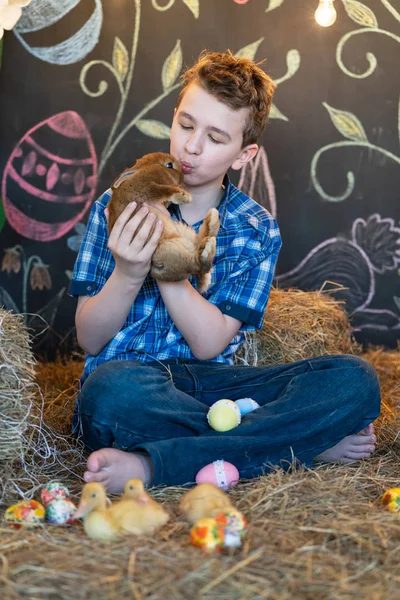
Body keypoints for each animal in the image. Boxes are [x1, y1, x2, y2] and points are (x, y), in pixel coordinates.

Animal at [108, 152, 220, 292]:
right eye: (169, 165)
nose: (182, 176)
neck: (144, 169)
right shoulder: (147, 188)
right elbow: (164, 190)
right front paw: (185, 196)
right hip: (172, 249)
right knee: (198, 264)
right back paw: (208, 245)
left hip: (183, 233)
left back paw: (212, 221)